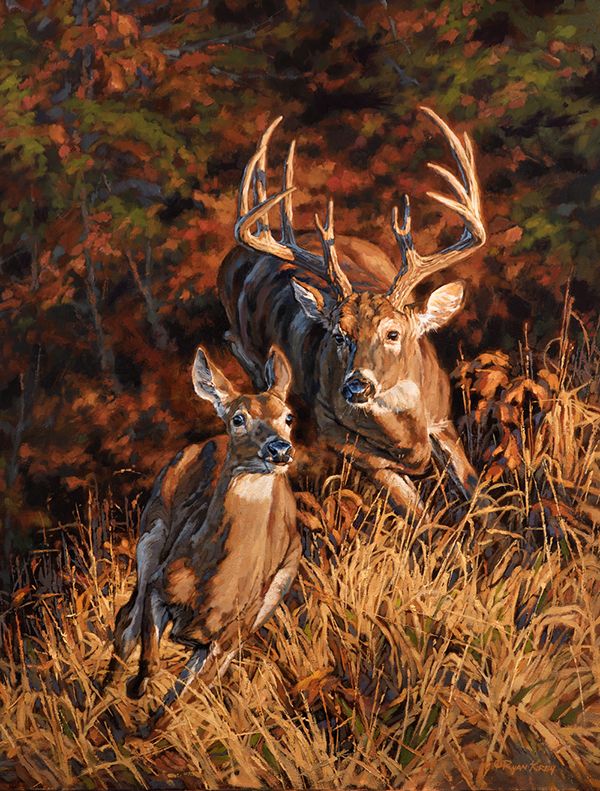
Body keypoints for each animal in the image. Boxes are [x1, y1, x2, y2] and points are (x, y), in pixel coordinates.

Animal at [101, 345, 300, 734]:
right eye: (238, 418)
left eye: (288, 417)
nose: (279, 449)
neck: (213, 584)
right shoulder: (159, 587)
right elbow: (150, 660)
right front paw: (133, 689)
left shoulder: (226, 639)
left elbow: (173, 709)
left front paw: (140, 735)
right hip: (151, 532)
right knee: (125, 622)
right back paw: (102, 696)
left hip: (272, 597)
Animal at [217, 107, 487, 517]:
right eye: (339, 335)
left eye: (393, 333)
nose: (356, 385)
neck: (407, 434)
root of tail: (231, 260)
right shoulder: (344, 442)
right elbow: (419, 517)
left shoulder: (443, 421)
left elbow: (477, 492)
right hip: (246, 350)